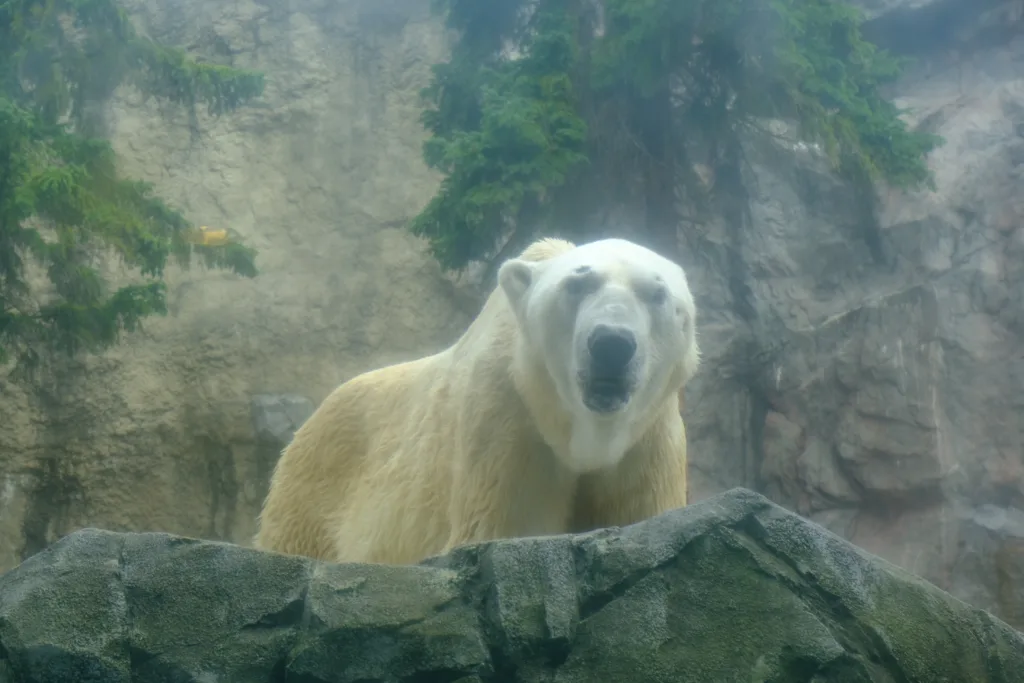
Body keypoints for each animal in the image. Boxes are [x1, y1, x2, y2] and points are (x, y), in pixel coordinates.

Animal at [252, 236, 700, 565]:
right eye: (576, 284)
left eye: (657, 293)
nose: (611, 343)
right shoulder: (506, 421)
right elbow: (500, 527)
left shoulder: (649, 440)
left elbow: (641, 512)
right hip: (316, 480)